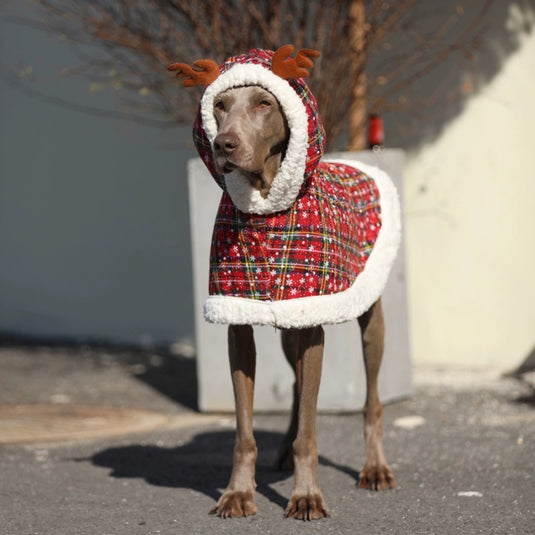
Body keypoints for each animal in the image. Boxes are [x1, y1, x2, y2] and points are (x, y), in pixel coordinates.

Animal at [170, 44, 400, 520]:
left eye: (264, 103)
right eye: (219, 105)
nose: (223, 145)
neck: (264, 211)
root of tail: (359, 161)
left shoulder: (312, 324)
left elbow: (310, 434)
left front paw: (306, 495)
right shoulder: (238, 320)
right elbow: (244, 431)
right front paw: (238, 493)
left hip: (369, 317)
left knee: (371, 398)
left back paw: (374, 468)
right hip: (286, 327)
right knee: (296, 385)